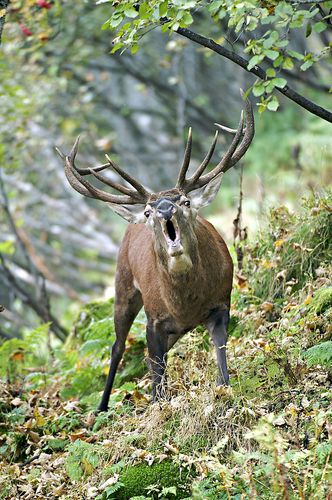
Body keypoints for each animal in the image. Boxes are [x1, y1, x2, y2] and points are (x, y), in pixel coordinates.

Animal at [56, 96, 254, 410]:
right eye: (148, 212)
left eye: (186, 201)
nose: (164, 209)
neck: (186, 303)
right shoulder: (154, 320)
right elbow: (157, 374)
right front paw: (158, 408)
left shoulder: (222, 303)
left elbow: (220, 354)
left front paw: (225, 390)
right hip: (123, 285)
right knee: (118, 346)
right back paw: (101, 407)